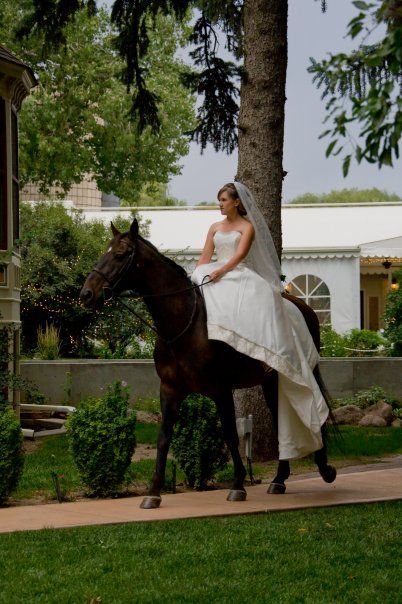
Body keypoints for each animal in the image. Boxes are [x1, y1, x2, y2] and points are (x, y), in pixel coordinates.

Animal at [79, 219, 336, 508]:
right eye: (105, 251)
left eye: (121, 255)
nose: (87, 294)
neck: (186, 324)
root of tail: (303, 307)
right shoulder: (170, 390)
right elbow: (164, 437)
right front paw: (153, 491)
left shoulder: (220, 389)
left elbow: (231, 434)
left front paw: (238, 485)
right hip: (272, 381)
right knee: (281, 420)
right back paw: (280, 479)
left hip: (297, 374)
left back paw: (324, 470)